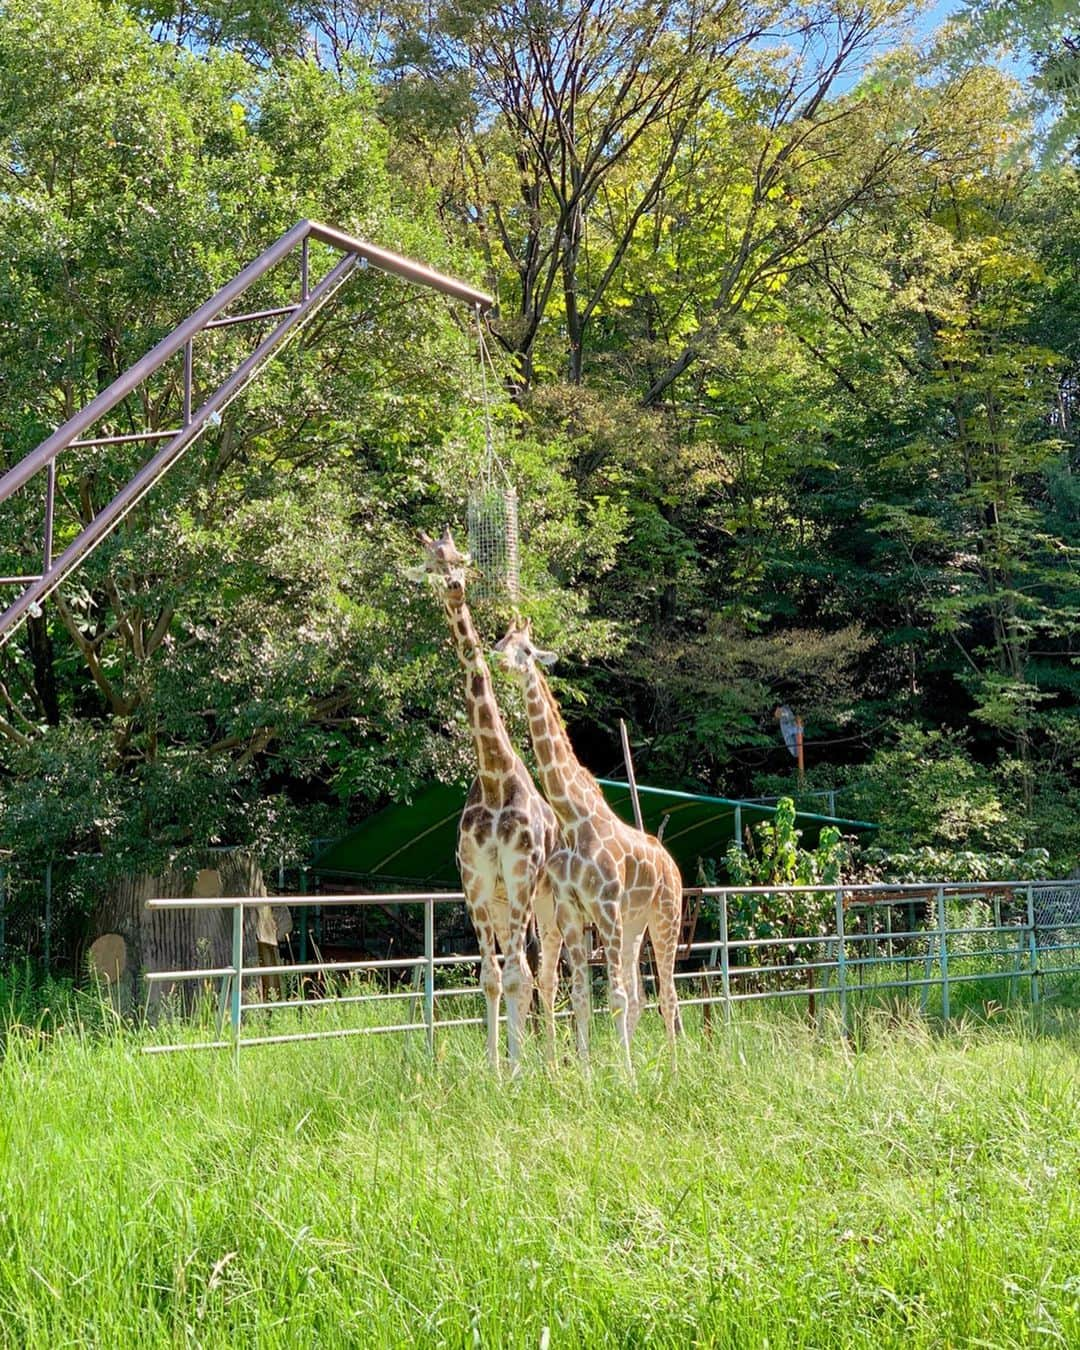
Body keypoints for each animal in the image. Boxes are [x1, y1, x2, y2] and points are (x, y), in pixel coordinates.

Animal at [410, 531, 564, 1069]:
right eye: (431, 566)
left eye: (459, 561)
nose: (455, 587)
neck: (495, 774)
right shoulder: (476, 882)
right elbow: (491, 977)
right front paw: (496, 1069)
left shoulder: (520, 875)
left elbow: (518, 974)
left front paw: (517, 1070)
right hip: (502, 902)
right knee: (528, 969)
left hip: (547, 901)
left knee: (545, 971)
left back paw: (551, 1062)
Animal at [491, 618, 683, 1069]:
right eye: (501, 641)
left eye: (527, 650)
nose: (498, 661)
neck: (574, 819)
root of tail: (671, 863)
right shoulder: (573, 911)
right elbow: (581, 996)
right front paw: (590, 1071)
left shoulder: (606, 907)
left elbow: (612, 996)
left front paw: (624, 1076)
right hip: (634, 924)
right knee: (640, 995)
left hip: (665, 916)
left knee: (667, 994)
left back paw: (672, 1068)